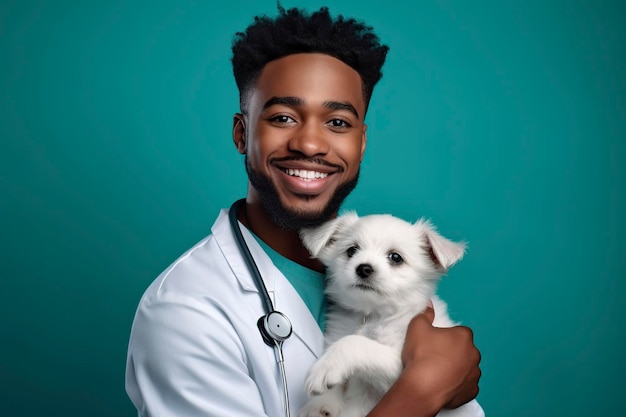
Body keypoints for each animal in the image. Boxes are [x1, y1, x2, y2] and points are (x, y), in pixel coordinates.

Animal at [298, 211, 482, 416]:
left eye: (396, 257)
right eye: (351, 251)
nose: (364, 268)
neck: (372, 314)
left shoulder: (403, 368)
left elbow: (354, 343)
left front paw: (325, 367)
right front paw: (320, 404)